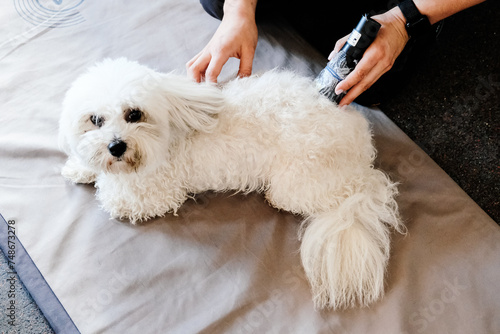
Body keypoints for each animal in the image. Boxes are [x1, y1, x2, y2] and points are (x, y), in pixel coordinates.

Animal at [58, 58, 402, 310]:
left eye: (134, 114)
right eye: (95, 120)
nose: (116, 146)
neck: (170, 131)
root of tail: (362, 154)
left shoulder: (154, 195)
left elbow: (112, 196)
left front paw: (102, 180)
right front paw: (81, 166)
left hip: (299, 182)